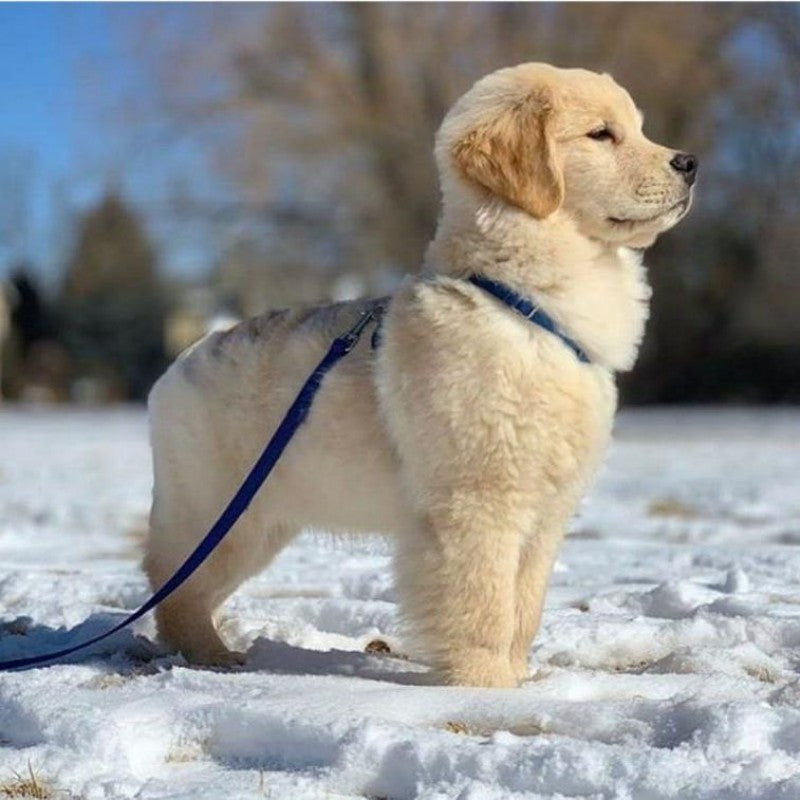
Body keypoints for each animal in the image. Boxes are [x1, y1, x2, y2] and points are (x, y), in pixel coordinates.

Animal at [144, 62, 692, 688]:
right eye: (602, 135)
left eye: (639, 129)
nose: (689, 163)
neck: (526, 307)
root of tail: (184, 357)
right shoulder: (477, 503)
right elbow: (485, 605)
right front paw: (486, 686)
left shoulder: (546, 512)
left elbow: (524, 607)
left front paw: (518, 677)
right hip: (217, 512)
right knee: (173, 585)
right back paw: (209, 654)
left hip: (259, 522)